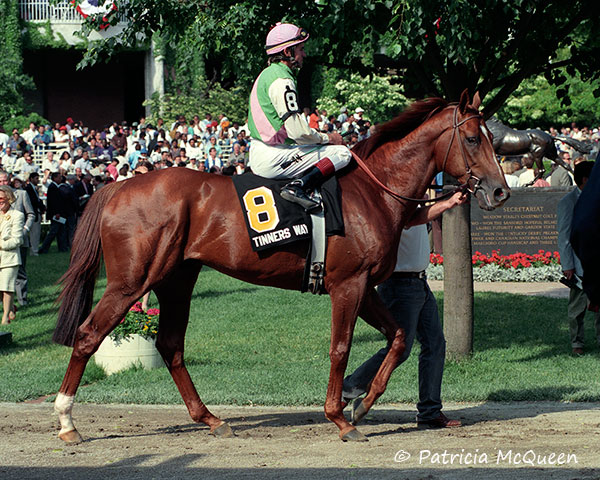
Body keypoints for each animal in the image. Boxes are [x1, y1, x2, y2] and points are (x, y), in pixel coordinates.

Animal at [54, 90, 508, 442]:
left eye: (491, 138)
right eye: (472, 138)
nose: (500, 191)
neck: (373, 191)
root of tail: (118, 186)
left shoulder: (364, 287)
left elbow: (398, 339)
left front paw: (362, 405)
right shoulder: (348, 284)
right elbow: (340, 348)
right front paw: (340, 419)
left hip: (176, 280)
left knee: (170, 345)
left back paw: (211, 419)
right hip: (131, 281)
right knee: (88, 335)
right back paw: (66, 421)